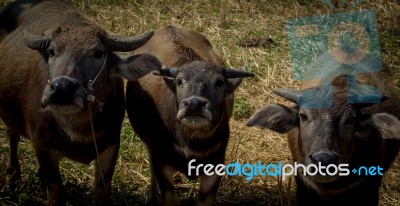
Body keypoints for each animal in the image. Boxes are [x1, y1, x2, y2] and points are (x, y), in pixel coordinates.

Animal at [0, 0, 161, 205]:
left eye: (98, 53)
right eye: (51, 51)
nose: (62, 88)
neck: (77, 129)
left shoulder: (110, 145)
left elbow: (101, 192)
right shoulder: (43, 146)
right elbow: (57, 194)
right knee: (12, 135)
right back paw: (12, 180)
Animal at [125, 25, 253, 204]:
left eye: (219, 82)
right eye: (179, 81)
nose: (194, 104)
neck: (193, 142)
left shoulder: (215, 165)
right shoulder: (161, 162)